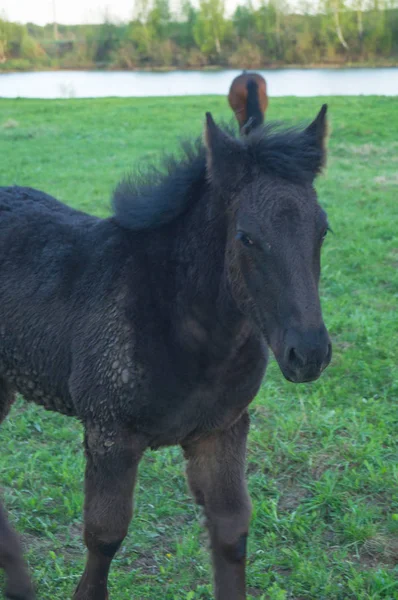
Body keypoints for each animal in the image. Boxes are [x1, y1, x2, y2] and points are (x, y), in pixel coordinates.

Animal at [0, 106, 330, 600]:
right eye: (246, 237)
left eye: (323, 229)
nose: (308, 353)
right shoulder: (109, 431)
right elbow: (105, 535)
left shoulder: (223, 429)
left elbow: (232, 529)